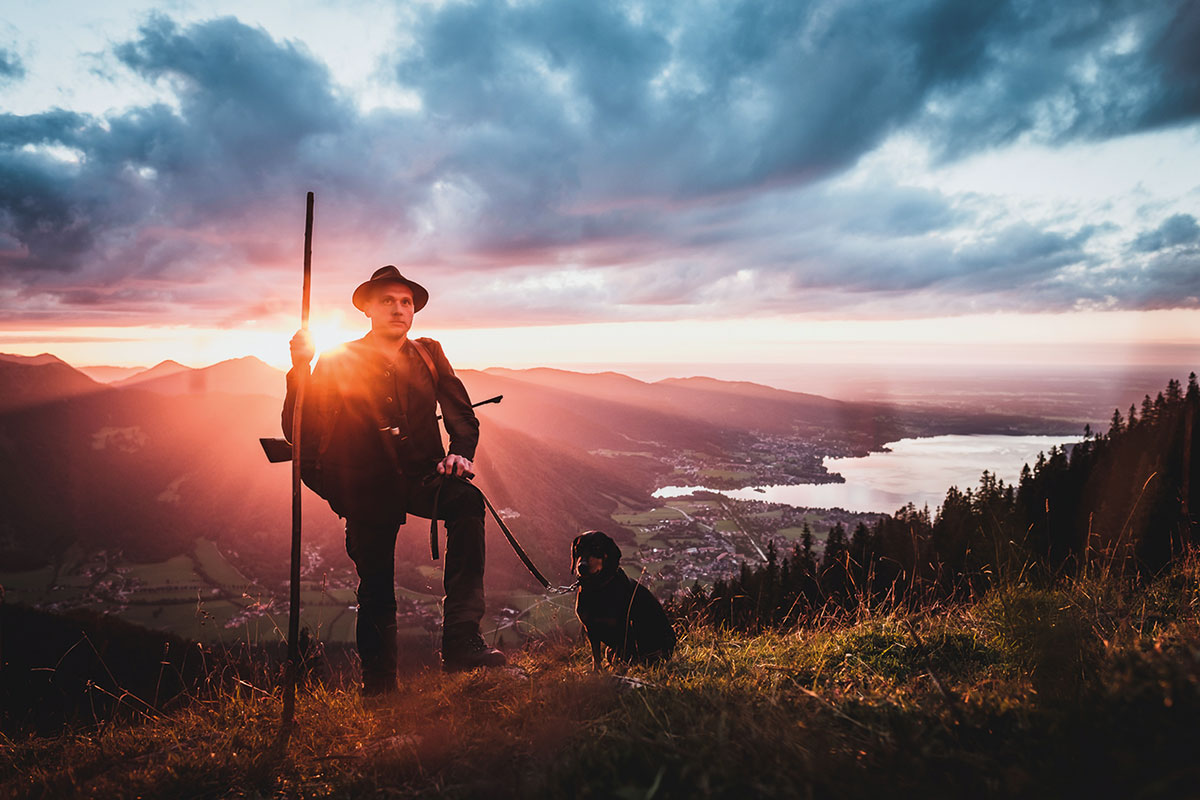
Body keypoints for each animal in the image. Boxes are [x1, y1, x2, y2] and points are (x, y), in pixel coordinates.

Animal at [571, 532, 676, 671]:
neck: (598, 588)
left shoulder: (623, 630)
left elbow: (622, 654)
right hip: (609, 649)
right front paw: (597, 672)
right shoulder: (590, 629)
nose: (581, 566)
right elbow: (596, 656)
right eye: (578, 549)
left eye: (596, 547)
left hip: (663, 641)